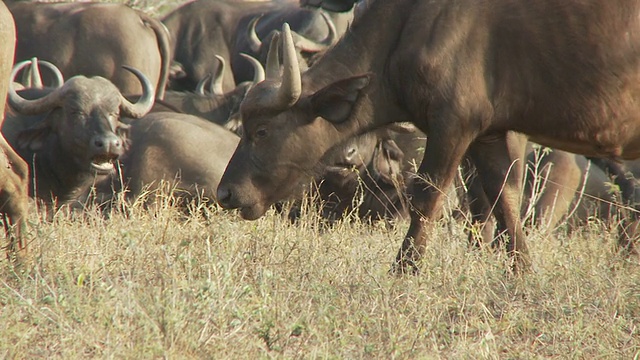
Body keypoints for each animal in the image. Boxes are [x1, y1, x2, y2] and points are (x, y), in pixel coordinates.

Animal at [216, 1, 640, 274]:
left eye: (261, 131)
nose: (225, 193)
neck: (410, 27)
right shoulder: (489, 135)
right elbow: (503, 198)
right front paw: (521, 273)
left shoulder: (453, 125)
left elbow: (427, 197)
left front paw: (404, 271)